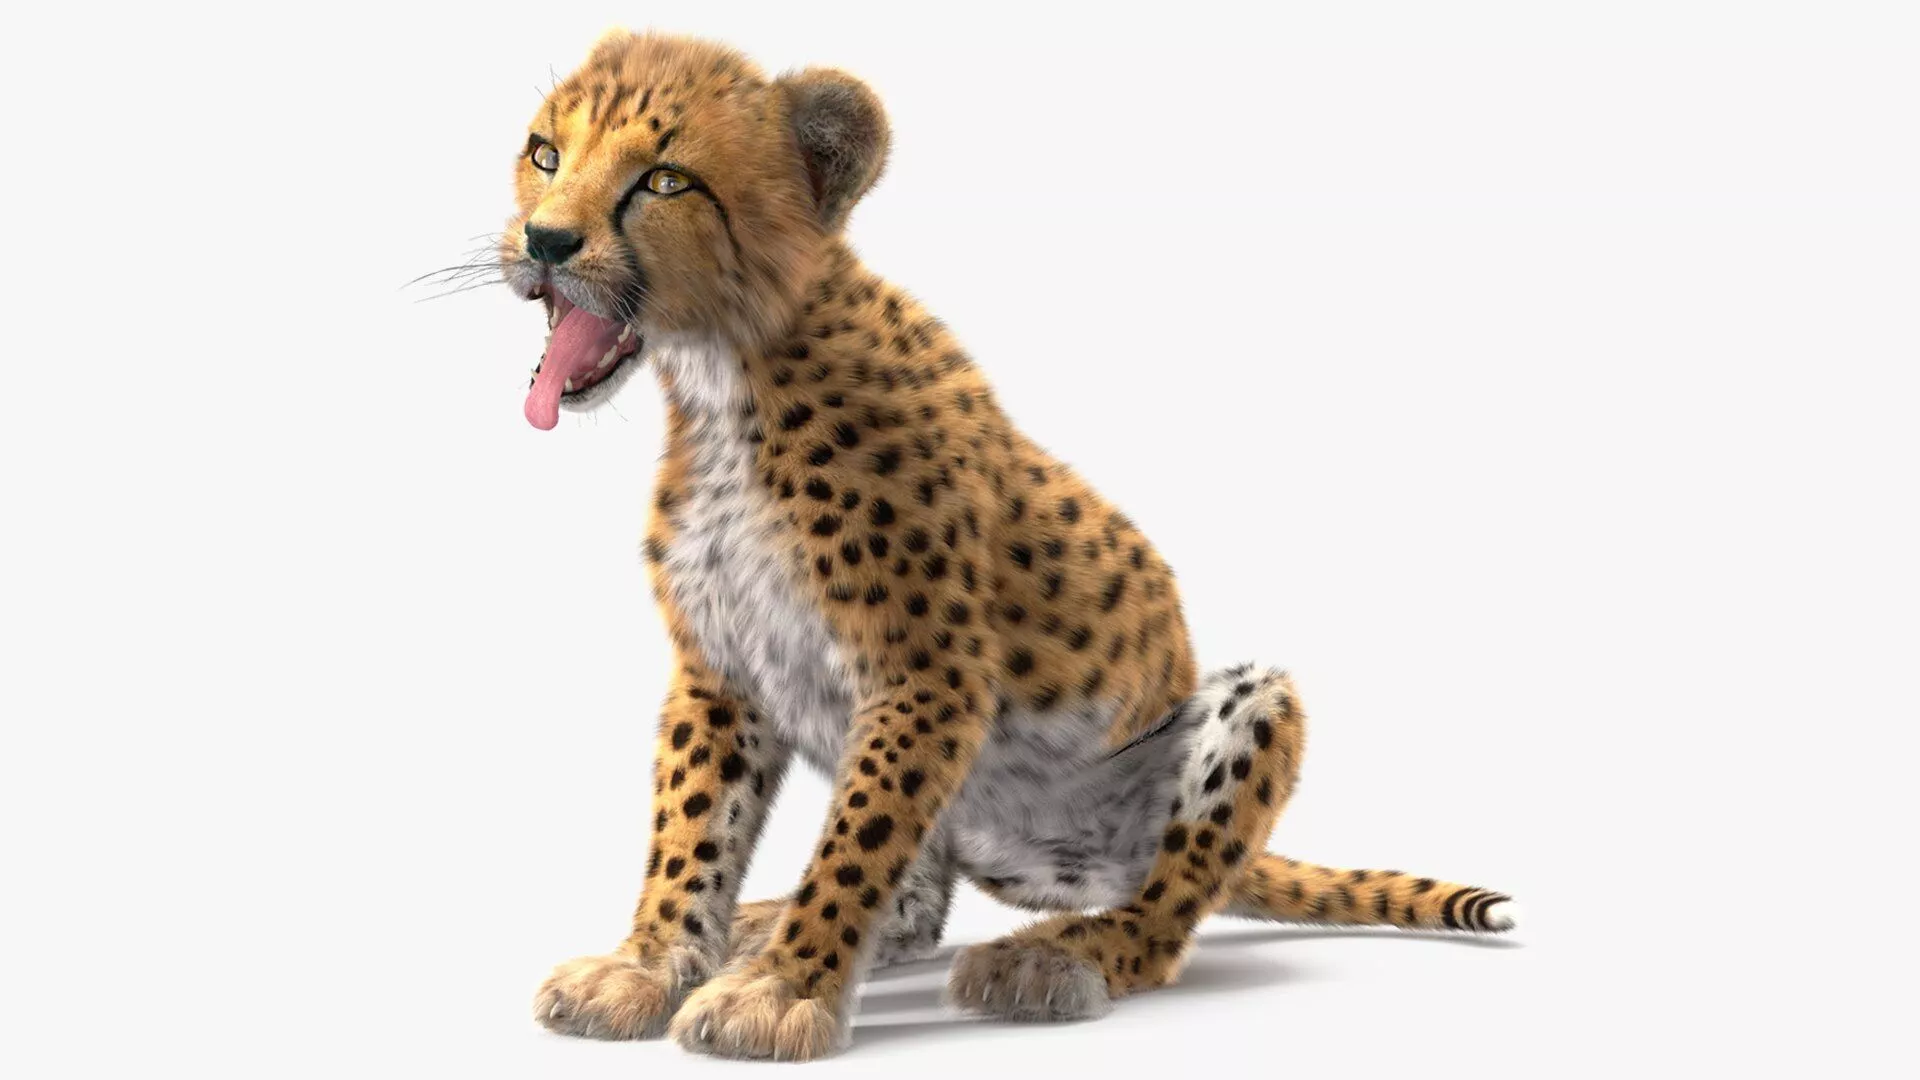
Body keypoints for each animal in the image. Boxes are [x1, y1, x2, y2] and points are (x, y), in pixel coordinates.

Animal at [484, 30, 1518, 1062]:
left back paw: (1056, 955)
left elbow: (854, 843)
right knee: (916, 905)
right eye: (547, 155)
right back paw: (769, 923)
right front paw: (652, 965)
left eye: (664, 180)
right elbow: (694, 826)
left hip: (1248, 709)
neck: (727, 374)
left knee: (1164, 916)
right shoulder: (723, 670)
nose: (545, 242)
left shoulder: (927, 679)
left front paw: (782, 991)